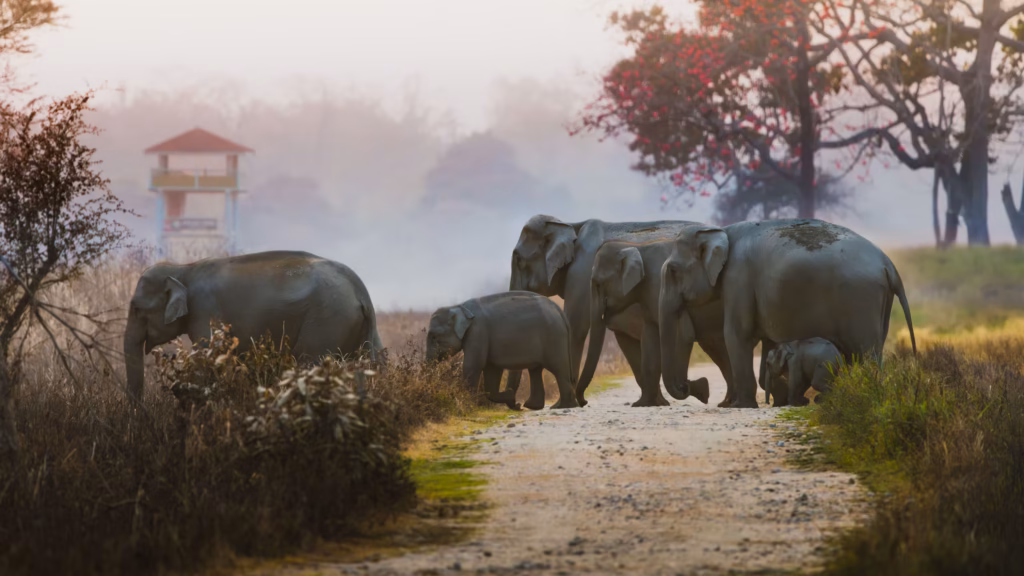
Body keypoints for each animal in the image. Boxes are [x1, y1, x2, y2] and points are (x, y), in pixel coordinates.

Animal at [123, 251, 384, 402]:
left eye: (136, 308)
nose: (141, 410)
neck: (183, 268)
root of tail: (360, 288)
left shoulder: (205, 311)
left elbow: (207, 358)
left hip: (327, 321)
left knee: (309, 363)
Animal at [425, 291, 579, 410]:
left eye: (433, 336)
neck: (459, 306)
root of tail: (559, 311)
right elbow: (491, 370)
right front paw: (512, 399)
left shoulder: (478, 332)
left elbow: (473, 365)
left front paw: (468, 405)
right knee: (536, 370)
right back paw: (533, 406)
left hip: (553, 337)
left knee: (558, 368)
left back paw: (563, 406)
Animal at [508, 215, 700, 408]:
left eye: (518, 259)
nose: (518, 405)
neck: (570, 225)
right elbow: (627, 343)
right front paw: (657, 403)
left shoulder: (580, 273)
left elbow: (575, 329)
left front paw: (561, 406)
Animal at [577, 239, 719, 407]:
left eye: (598, 283)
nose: (584, 402)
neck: (635, 248)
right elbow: (650, 340)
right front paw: (643, 404)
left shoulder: (660, 288)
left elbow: (684, 334)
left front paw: (695, 388)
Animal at [659, 218, 917, 409]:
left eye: (672, 270)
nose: (693, 387)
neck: (722, 230)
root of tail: (888, 264)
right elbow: (768, 343)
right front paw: (779, 401)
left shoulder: (737, 278)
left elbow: (737, 335)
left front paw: (741, 406)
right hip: (880, 302)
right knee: (869, 350)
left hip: (860, 301)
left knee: (865, 353)